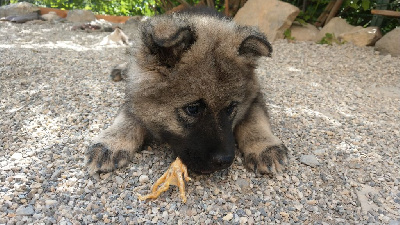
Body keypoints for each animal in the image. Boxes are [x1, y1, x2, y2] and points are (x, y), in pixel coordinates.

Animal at [86, 9, 288, 176]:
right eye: (193, 109)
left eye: (231, 108)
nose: (225, 161)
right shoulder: (134, 95)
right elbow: (127, 117)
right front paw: (111, 143)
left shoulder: (255, 95)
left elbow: (255, 118)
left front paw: (264, 146)